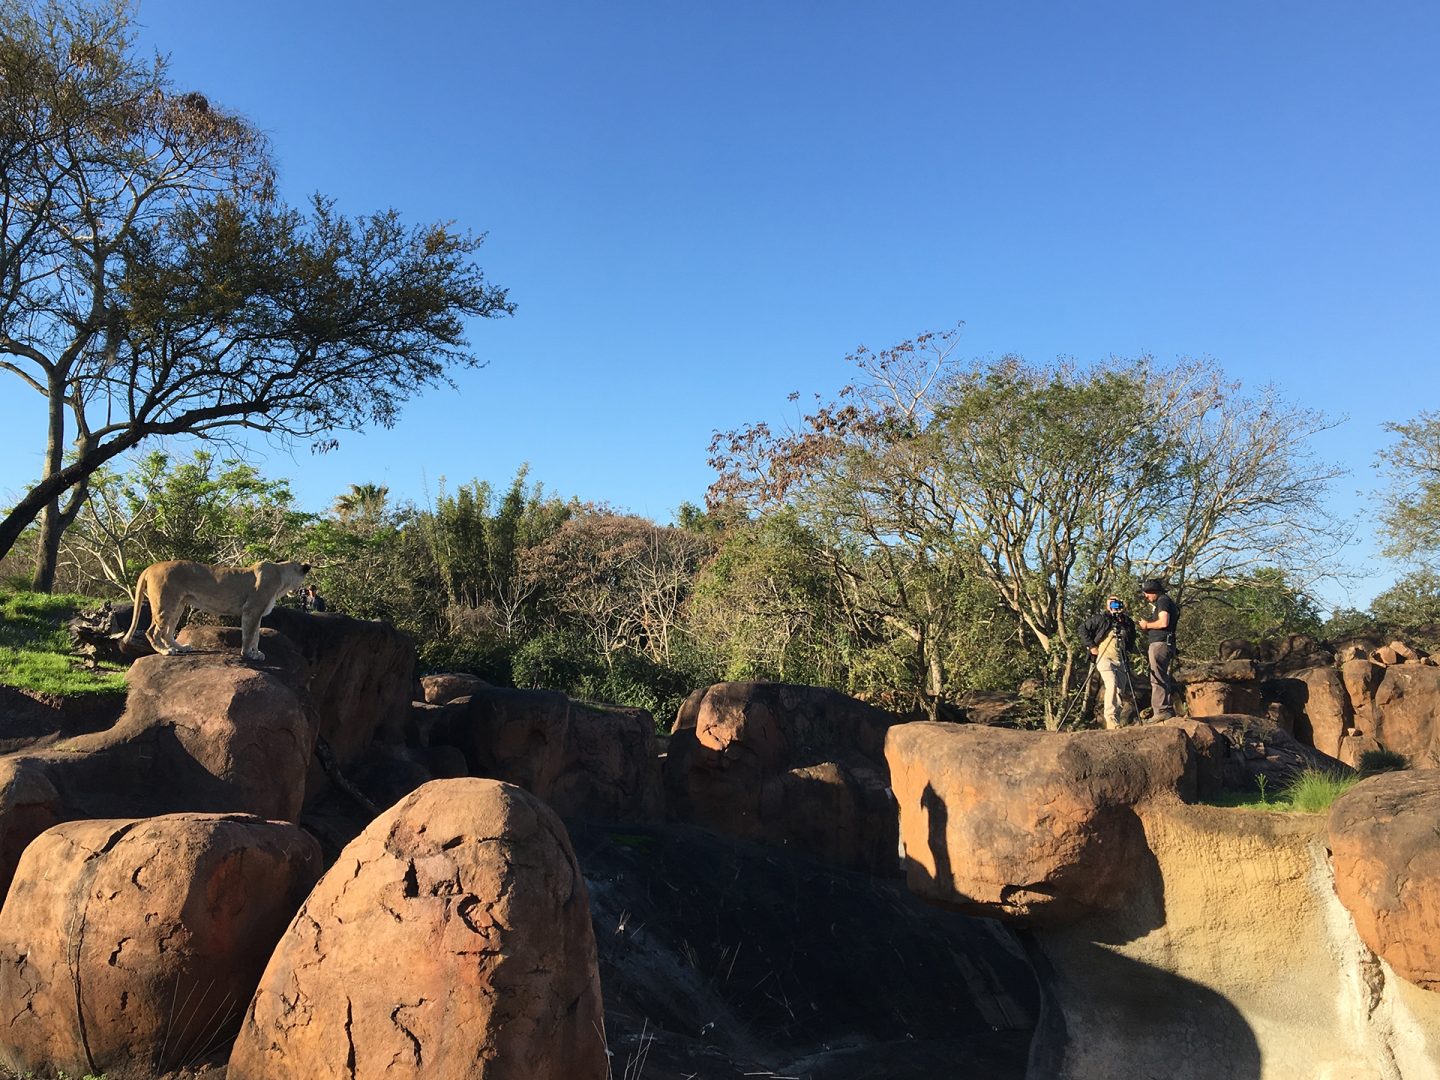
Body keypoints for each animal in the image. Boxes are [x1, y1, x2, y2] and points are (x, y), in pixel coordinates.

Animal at [120, 559, 311, 661]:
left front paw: (256, 653)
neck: (281, 576)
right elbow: (249, 635)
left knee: (167, 632)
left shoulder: (256, 613)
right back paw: (165, 651)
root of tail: (151, 567)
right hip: (165, 604)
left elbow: (256, 635)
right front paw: (247, 654)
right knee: (152, 631)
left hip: (178, 605)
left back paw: (181, 647)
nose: (303, 591)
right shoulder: (252, 610)